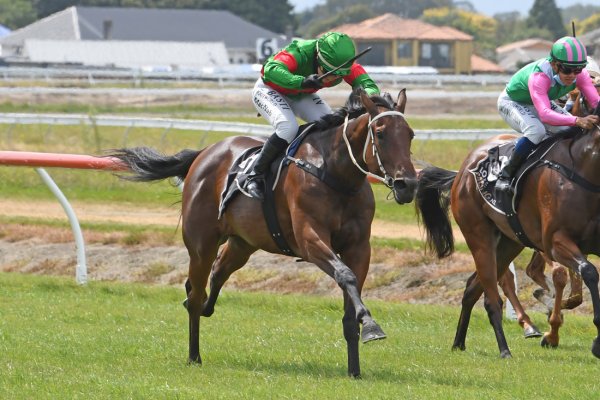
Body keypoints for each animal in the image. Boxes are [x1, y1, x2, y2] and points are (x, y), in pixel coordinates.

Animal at [108, 88, 418, 378]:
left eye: (411, 135)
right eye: (380, 133)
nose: (408, 184)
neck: (335, 173)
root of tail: (204, 153)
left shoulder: (359, 247)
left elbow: (350, 298)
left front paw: (355, 368)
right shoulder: (310, 239)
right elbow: (345, 275)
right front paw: (372, 326)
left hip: (242, 244)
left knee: (215, 275)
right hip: (200, 245)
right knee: (196, 295)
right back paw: (194, 355)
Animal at [414, 110, 600, 360]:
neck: (584, 170)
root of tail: (463, 171)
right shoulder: (555, 242)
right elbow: (588, 271)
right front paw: (591, 340)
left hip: (509, 243)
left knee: (472, 288)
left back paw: (459, 342)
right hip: (479, 237)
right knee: (491, 298)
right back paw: (504, 349)